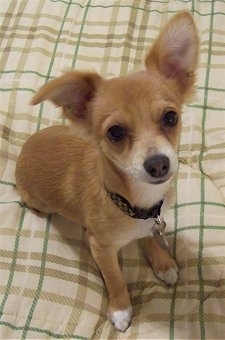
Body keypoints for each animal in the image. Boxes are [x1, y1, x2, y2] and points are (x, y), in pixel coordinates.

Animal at [15, 12, 199, 332]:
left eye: (170, 117)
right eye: (115, 132)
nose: (159, 163)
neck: (136, 201)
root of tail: (25, 148)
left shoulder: (150, 221)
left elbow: (150, 236)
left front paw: (162, 262)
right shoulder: (101, 248)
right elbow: (114, 277)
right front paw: (121, 309)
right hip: (40, 204)